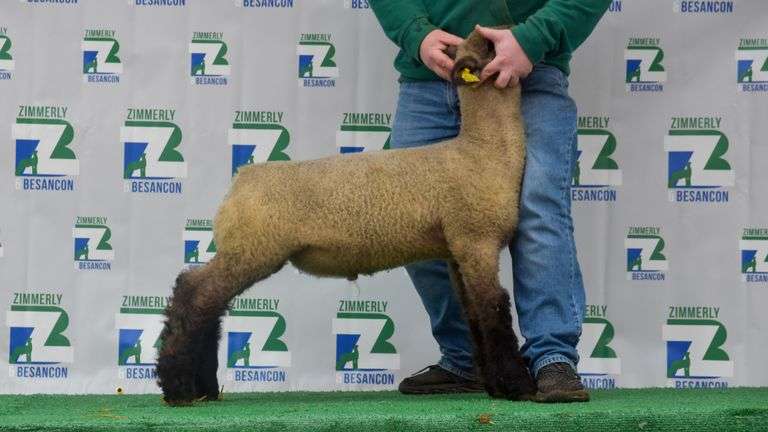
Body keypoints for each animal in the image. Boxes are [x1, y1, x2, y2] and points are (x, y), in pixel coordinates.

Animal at [156, 28, 536, 406]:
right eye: (491, 45)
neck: (483, 150)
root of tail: (241, 179)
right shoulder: (477, 239)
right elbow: (495, 309)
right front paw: (518, 385)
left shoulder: (458, 249)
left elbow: (475, 314)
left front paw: (496, 385)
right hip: (252, 249)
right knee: (196, 294)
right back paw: (180, 388)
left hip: (246, 249)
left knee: (208, 304)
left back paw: (203, 387)